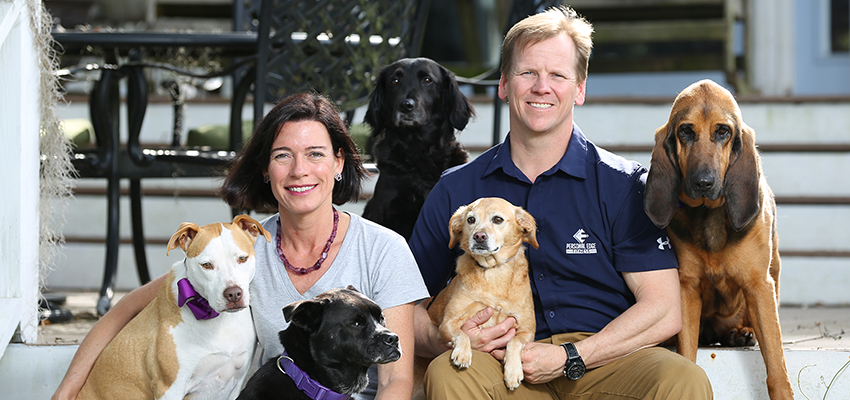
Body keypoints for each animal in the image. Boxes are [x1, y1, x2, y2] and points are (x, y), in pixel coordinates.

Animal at [77, 216, 268, 400]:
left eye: (242, 259)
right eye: (207, 265)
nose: (234, 294)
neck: (216, 318)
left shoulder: (237, 382)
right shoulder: (170, 388)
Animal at [424, 197, 536, 390]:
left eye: (497, 219)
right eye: (471, 219)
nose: (479, 236)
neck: (493, 270)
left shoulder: (527, 331)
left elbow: (514, 342)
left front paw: (513, 371)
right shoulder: (448, 323)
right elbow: (462, 335)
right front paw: (463, 353)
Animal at [644, 79, 792, 398]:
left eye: (723, 131)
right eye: (686, 131)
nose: (703, 182)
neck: (708, 215)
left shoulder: (759, 286)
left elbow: (777, 369)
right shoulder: (686, 289)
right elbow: (687, 357)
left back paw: (743, 333)